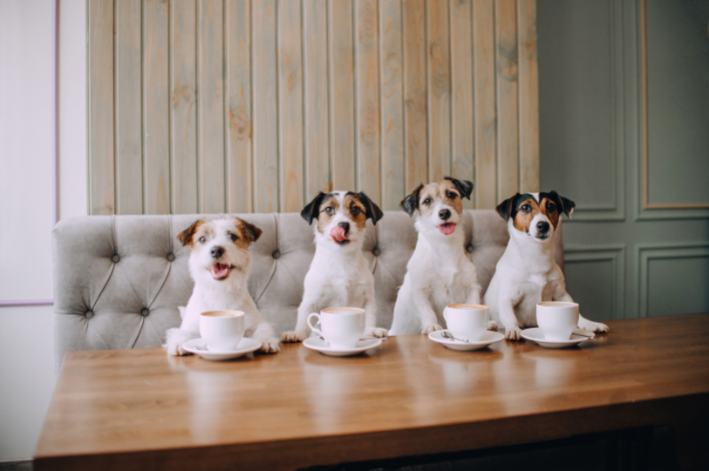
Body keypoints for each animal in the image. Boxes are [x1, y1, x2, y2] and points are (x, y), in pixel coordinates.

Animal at [165, 219, 278, 356]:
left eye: (232, 236)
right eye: (202, 239)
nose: (216, 250)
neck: (220, 289)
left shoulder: (253, 323)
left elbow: (262, 328)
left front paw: (266, 340)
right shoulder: (192, 326)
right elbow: (182, 332)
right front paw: (178, 342)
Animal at [280, 192, 388, 342]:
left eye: (355, 208)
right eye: (328, 209)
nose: (343, 225)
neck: (341, 258)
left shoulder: (367, 298)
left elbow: (369, 318)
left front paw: (370, 331)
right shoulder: (311, 299)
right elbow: (304, 319)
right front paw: (298, 334)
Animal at [384, 177, 490, 336]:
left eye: (451, 194)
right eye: (427, 201)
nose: (444, 213)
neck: (445, 246)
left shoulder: (471, 286)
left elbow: (473, 304)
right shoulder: (420, 290)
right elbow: (427, 310)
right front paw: (432, 326)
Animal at [484, 192, 612, 340]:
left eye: (551, 206)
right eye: (525, 207)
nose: (543, 225)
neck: (537, 256)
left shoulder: (561, 295)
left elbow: (577, 313)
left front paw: (590, 324)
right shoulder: (507, 298)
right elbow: (510, 316)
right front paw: (514, 329)